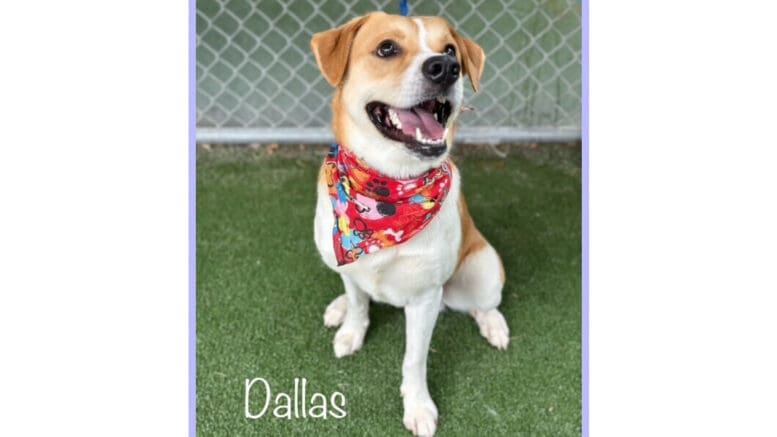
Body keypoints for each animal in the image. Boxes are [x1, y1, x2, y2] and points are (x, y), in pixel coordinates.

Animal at [310, 11, 510, 434]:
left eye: (450, 50)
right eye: (387, 48)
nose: (446, 68)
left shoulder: (424, 299)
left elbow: (414, 360)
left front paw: (418, 406)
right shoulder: (351, 265)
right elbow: (359, 304)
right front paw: (351, 330)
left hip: (481, 268)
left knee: (484, 303)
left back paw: (494, 325)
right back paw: (338, 307)